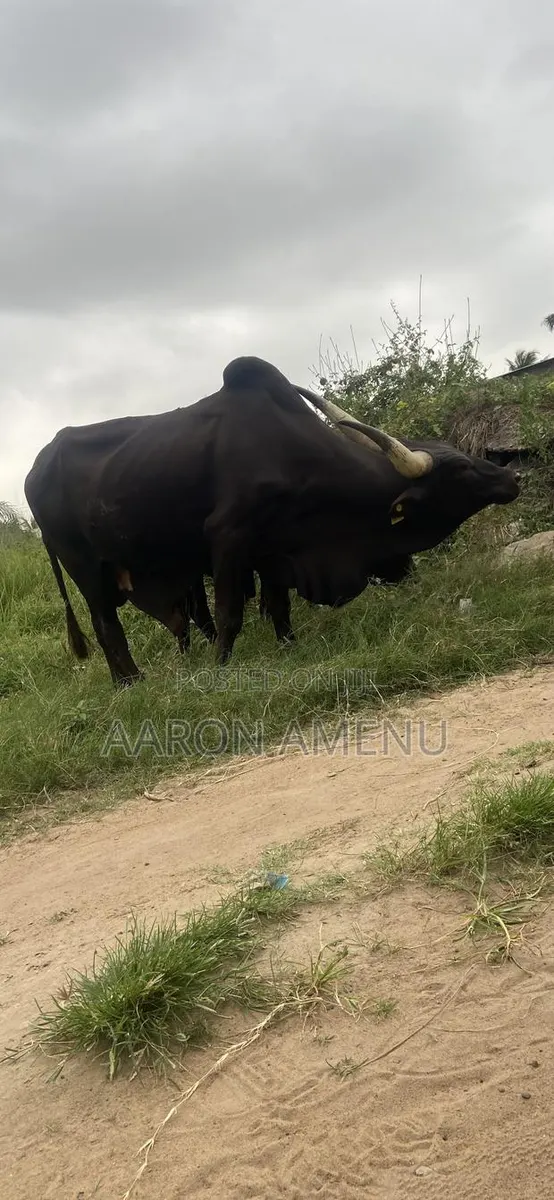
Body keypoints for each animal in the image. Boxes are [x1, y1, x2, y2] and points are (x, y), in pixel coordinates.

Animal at [24, 356, 520, 686]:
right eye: (461, 469)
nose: (512, 477)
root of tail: (35, 469)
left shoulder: (276, 549)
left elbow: (278, 607)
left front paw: (290, 649)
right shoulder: (228, 539)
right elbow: (229, 615)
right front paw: (220, 667)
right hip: (86, 568)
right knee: (107, 626)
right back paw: (131, 683)